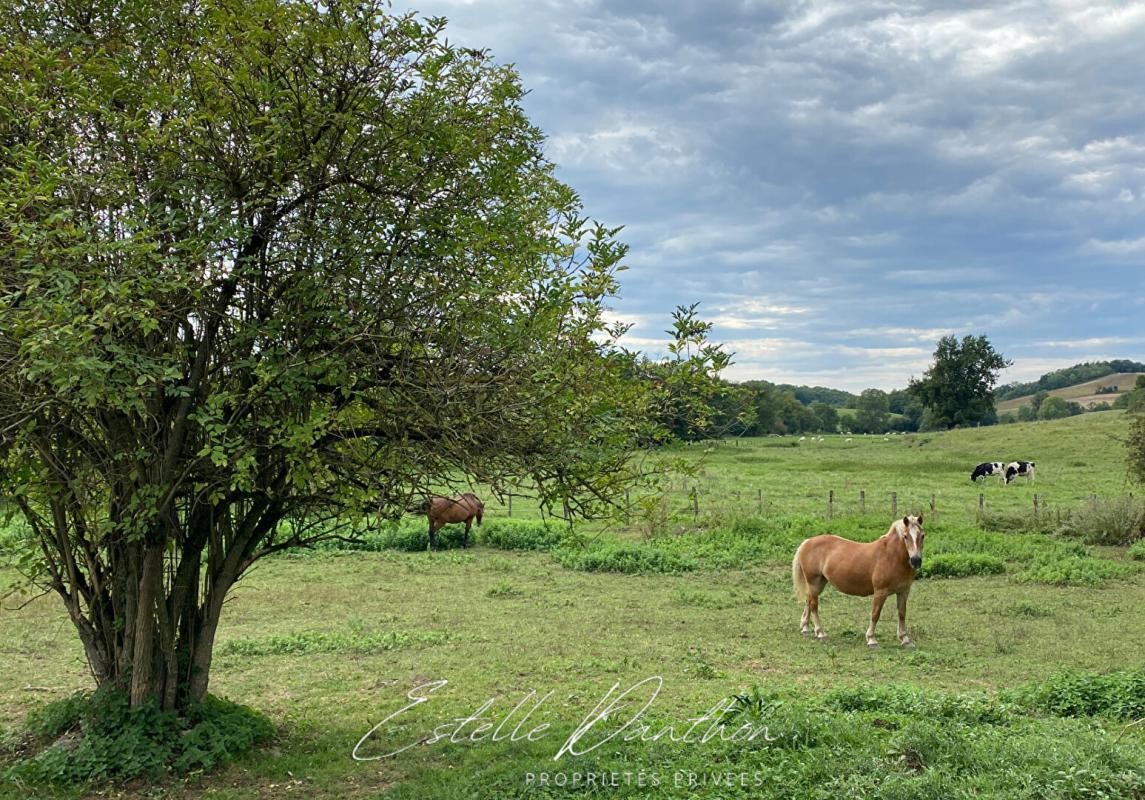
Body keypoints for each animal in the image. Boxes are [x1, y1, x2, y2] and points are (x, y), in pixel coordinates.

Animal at [792, 517, 925, 650]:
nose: (916, 560)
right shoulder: (880, 592)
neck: (891, 557)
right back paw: (820, 633)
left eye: (922, 535)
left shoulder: (903, 591)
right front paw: (871, 640)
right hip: (814, 583)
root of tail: (807, 542)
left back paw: (805, 628)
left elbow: (902, 614)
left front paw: (905, 640)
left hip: (819, 584)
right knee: (814, 605)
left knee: (808, 601)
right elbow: (875, 614)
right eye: (905, 536)